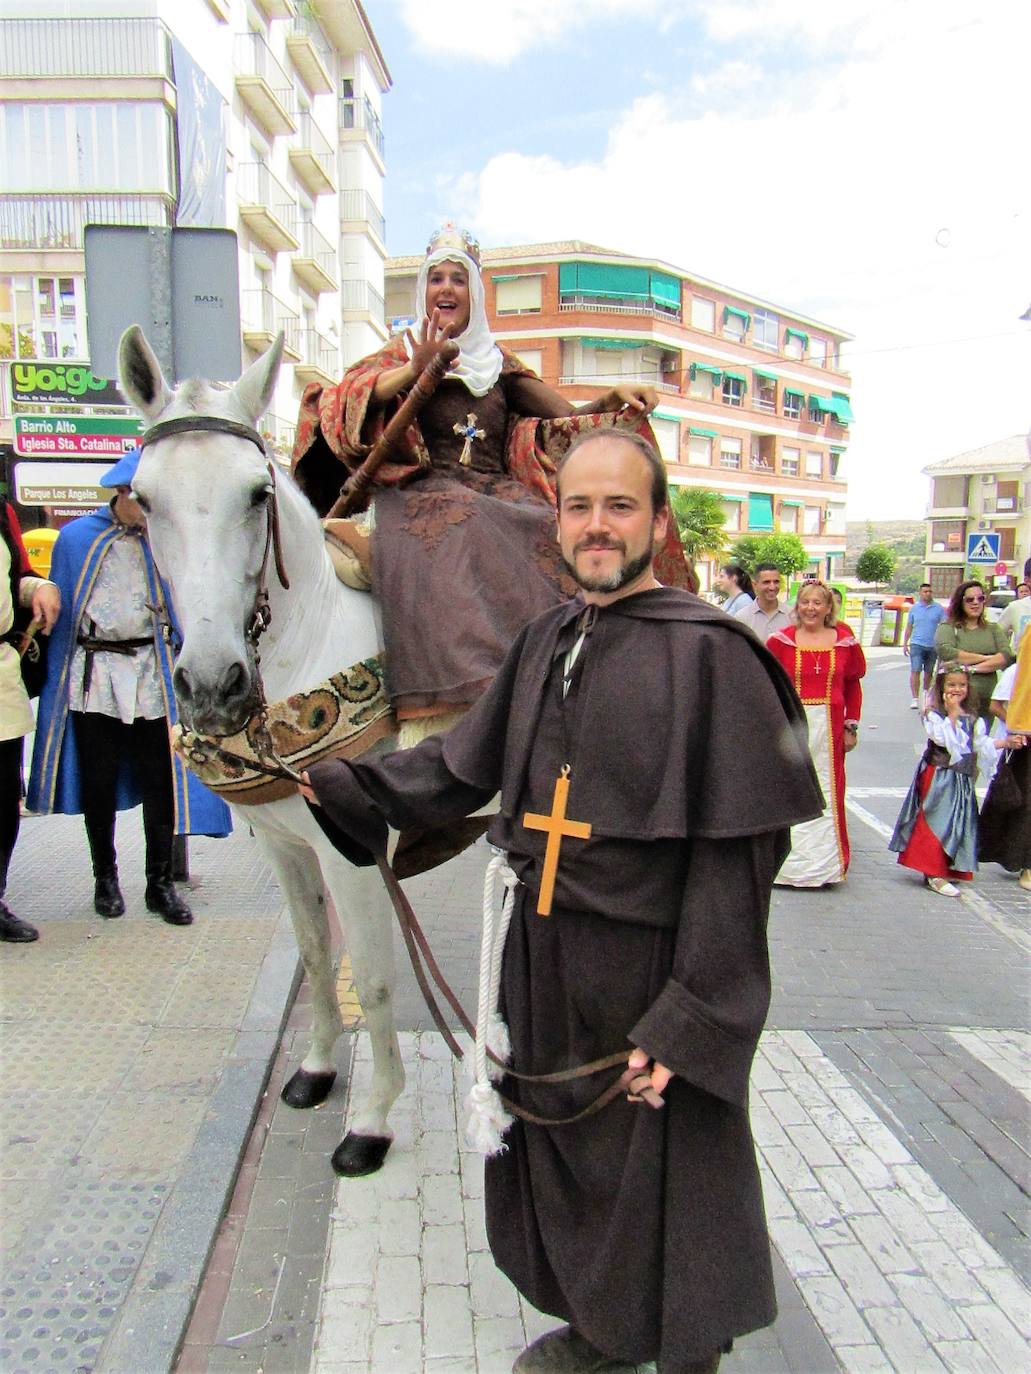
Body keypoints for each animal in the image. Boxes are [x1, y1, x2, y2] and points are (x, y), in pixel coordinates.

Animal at [122, 321, 406, 1170]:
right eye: (144, 499)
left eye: (256, 493)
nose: (213, 684)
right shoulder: (287, 848)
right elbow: (316, 956)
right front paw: (314, 1069)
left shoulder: (354, 851)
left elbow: (372, 977)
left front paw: (372, 1119)